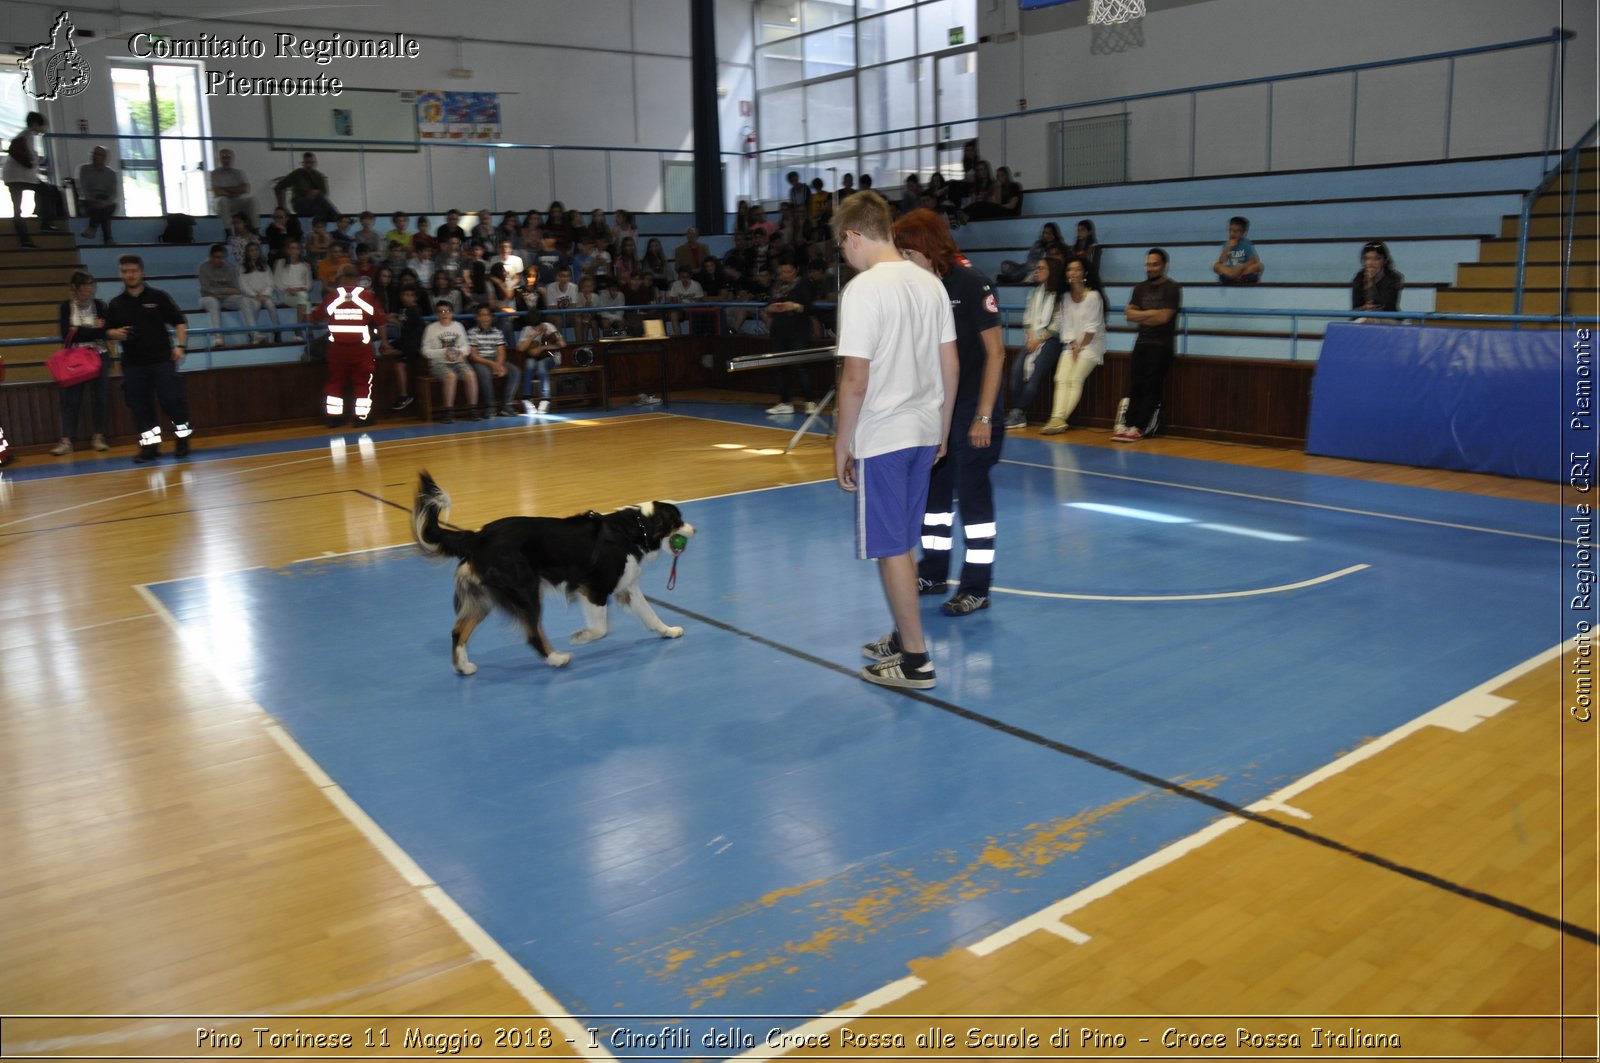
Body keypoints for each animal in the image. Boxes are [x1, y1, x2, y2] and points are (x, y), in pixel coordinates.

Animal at [409, 470, 691, 672]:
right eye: (678, 521)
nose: (695, 530)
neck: (635, 529)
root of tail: (477, 537)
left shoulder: (627, 588)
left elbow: (650, 614)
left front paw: (669, 631)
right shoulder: (594, 588)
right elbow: (601, 628)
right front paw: (580, 637)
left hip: (484, 598)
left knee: (458, 631)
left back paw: (464, 667)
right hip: (525, 591)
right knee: (533, 634)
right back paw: (556, 659)